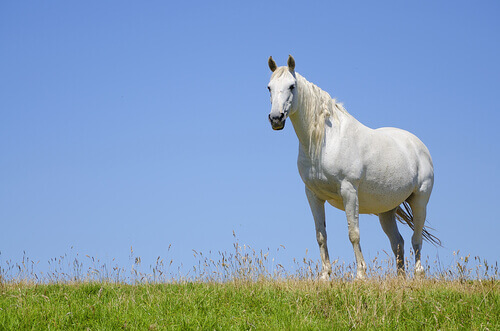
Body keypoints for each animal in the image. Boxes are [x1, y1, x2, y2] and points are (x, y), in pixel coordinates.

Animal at [268, 55, 440, 280]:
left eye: (292, 86)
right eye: (269, 87)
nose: (276, 118)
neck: (326, 140)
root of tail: (419, 146)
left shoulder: (348, 190)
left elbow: (353, 233)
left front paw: (360, 275)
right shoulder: (312, 195)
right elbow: (321, 235)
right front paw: (325, 276)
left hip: (420, 200)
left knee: (416, 238)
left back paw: (419, 275)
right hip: (387, 210)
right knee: (398, 242)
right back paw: (400, 278)